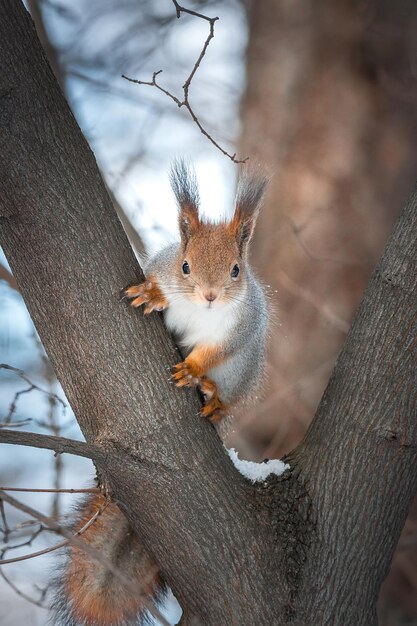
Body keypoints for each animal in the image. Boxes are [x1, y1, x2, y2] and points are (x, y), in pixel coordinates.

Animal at [52, 162, 268, 624]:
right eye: (184, 266)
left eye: (236, 270)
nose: (210, 296)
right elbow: (157, 287)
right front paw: (151, 293)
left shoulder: (238, 330)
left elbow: (215, 350)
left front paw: (193, 369)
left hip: (242, 374)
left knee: (226, 394)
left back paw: (211, 395)